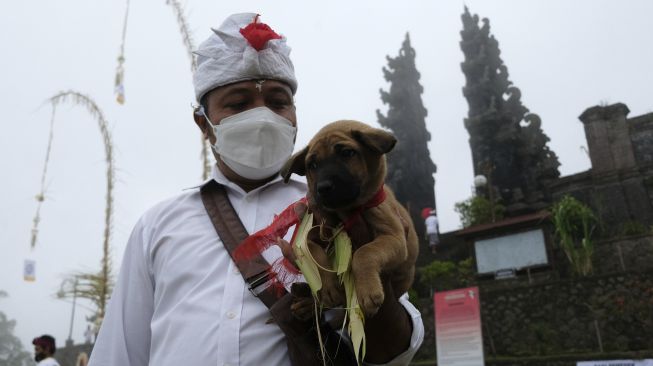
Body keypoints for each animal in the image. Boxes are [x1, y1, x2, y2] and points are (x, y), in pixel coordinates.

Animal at [280, 120, 418, 318]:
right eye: (312, 165)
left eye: (347, 153)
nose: (323, 188)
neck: (346, 210)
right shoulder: (308, 238)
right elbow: (316, 254)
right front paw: (328, 288)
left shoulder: (395, 238)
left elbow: (364, 253)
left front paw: (367, 291)